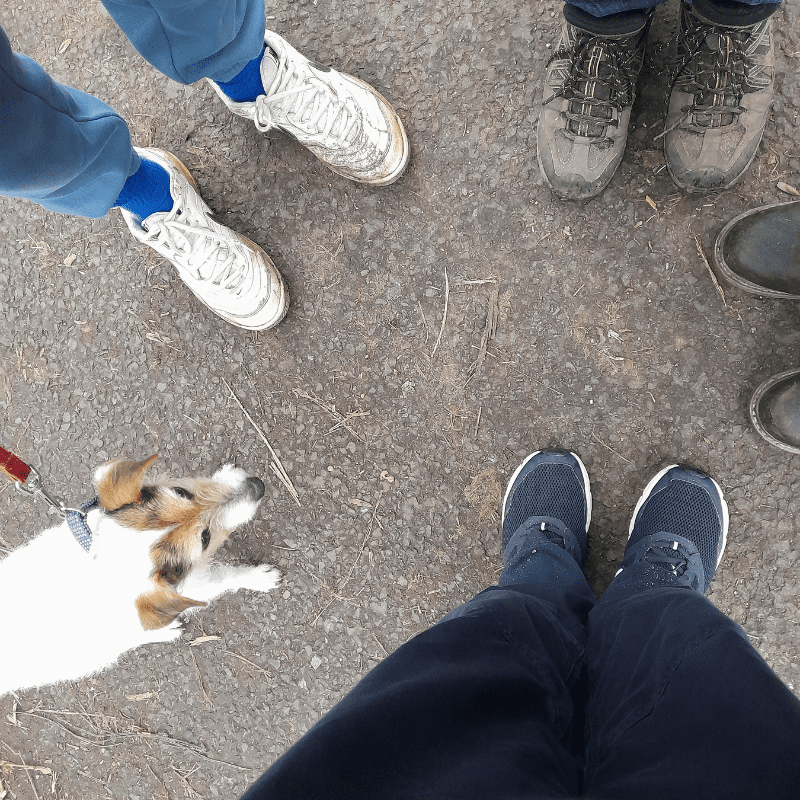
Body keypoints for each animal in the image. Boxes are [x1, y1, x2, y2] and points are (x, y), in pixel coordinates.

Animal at [0, 456, 282, 692]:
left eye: (182, 492)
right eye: (204, 538)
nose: (257, 485)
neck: (102, 567)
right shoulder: (187, 588)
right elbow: (224, 578)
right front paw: (261, 577)